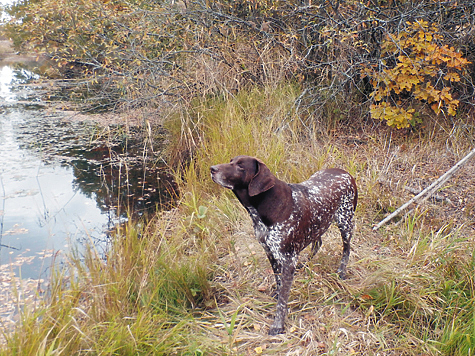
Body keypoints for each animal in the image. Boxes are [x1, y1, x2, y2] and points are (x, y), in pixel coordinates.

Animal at [210, 155, 358, 334]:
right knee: (318, 242)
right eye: (231, 161)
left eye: (240, 166)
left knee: (346, 248)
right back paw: (305, 263)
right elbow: (279, 282)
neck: (265, 205)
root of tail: (346, 173)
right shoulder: (271, 253)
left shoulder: (287, 259)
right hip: (317, 223)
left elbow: (282, 300)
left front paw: (278, 324)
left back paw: (341, 271)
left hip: (345, 222)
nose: (212, 169)